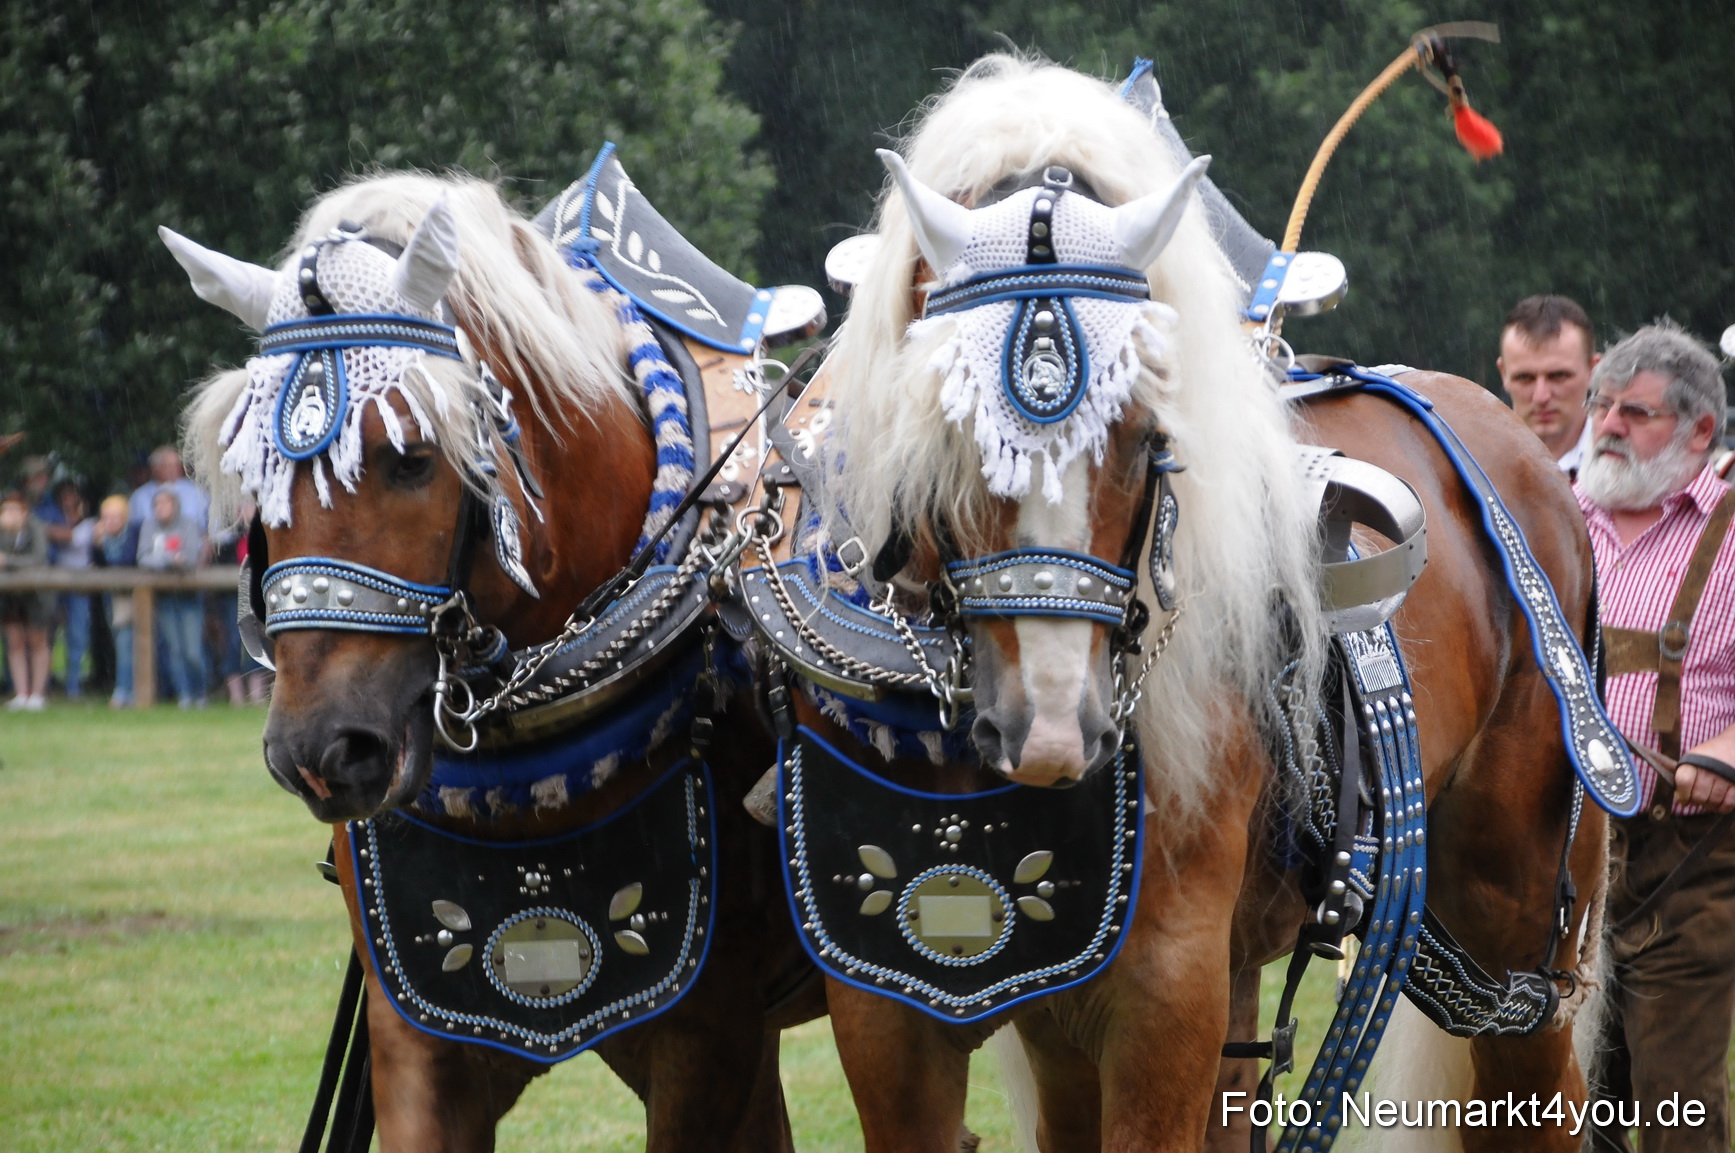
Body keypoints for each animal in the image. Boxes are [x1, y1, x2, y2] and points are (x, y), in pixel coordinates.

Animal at [770, 56, 1615, 1152]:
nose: (1054, 730)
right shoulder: (895, 1008)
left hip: (1514, 934)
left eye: (1144, 436)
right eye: (952, 430)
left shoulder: (1163, 993)